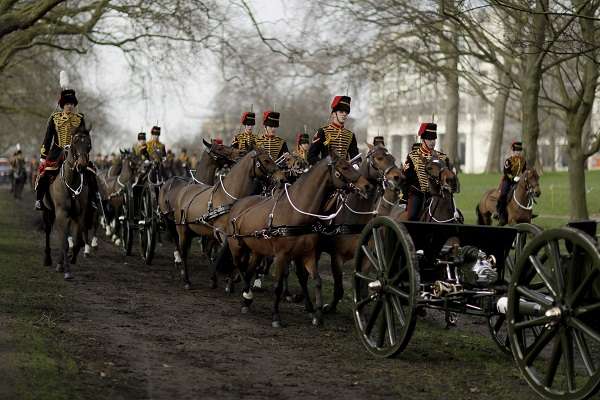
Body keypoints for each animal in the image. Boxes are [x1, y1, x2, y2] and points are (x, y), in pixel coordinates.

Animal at [42, 126, 92, 280]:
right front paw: (66, 270)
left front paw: (70, 259)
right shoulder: (62, 213)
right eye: (75, 142)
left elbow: (77, 241)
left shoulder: (79, 215)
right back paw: (48, 260)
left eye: (89, 144)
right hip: (48, 211)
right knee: (48, 231)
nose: (81, 165)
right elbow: (64, 242)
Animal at [173, 148, 286, 290]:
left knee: (206, 252)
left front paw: (233, 279)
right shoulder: (222, 233)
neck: (229, 197)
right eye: (266, 160)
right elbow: (231, 256)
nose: (282, 179)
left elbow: (240, 257)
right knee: (184, 252)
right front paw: (231, 281)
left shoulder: (237, 235)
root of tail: (184, 190)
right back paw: (187, 280)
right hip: (182, 229)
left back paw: (213, 278)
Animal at [227, 153, 372, 328]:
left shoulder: (308, 255)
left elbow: (317, 281)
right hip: (237, 247)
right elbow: (278, 286)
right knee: (239, 266)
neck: (297, 214)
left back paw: (246, 300)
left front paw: (317, 315)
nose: (367, 186)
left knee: (248, 271)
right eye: (345, 167)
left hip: (257, 250)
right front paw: (276, 316)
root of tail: (239, 203)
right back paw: (246, 293)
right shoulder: (281, 256)